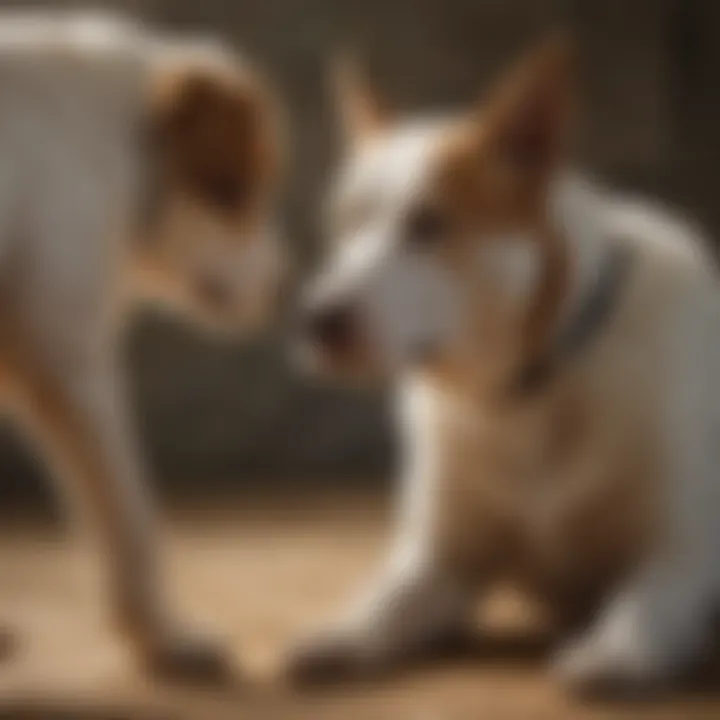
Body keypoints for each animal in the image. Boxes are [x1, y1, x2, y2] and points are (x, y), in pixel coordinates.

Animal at [290, 36, 720, 696]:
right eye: (343, 225)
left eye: (429, 224)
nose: (316, 319)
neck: (523, 395)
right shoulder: (441, 560)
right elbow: (388, 604)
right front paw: (346, 632)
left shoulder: (683, 552)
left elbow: (647, 601)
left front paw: (616, 649)